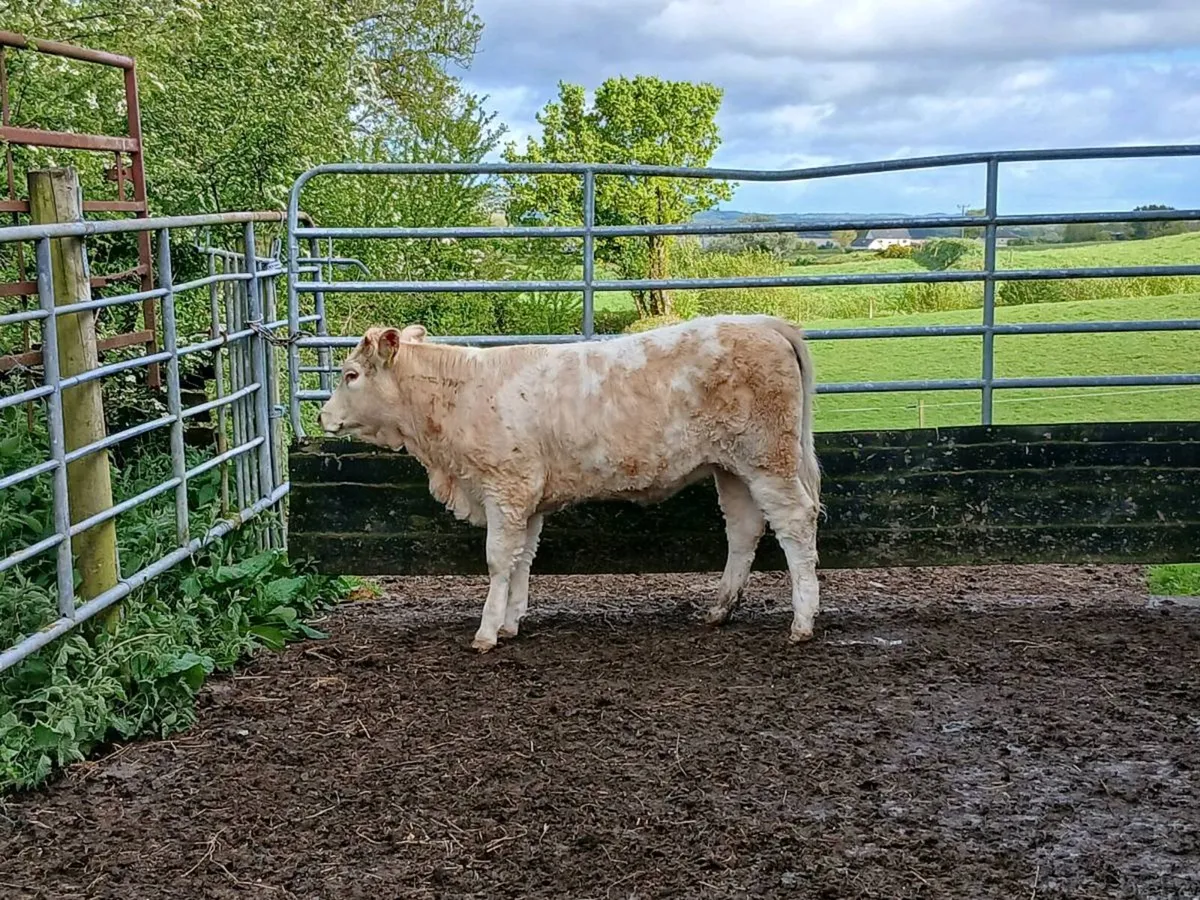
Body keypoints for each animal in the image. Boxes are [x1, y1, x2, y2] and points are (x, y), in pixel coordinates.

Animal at [317, 314, 821, 652]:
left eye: (351, 375)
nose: (322, 416)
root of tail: (762, 323)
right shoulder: (527, 499)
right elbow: (522, 559)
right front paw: (510, 623)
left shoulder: (505, 488)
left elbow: (498, 560)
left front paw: (486, 632)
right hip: (731, 468)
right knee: (743, 530)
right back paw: (720, 609)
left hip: (767, 460)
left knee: (796, 523)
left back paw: (802, 621)